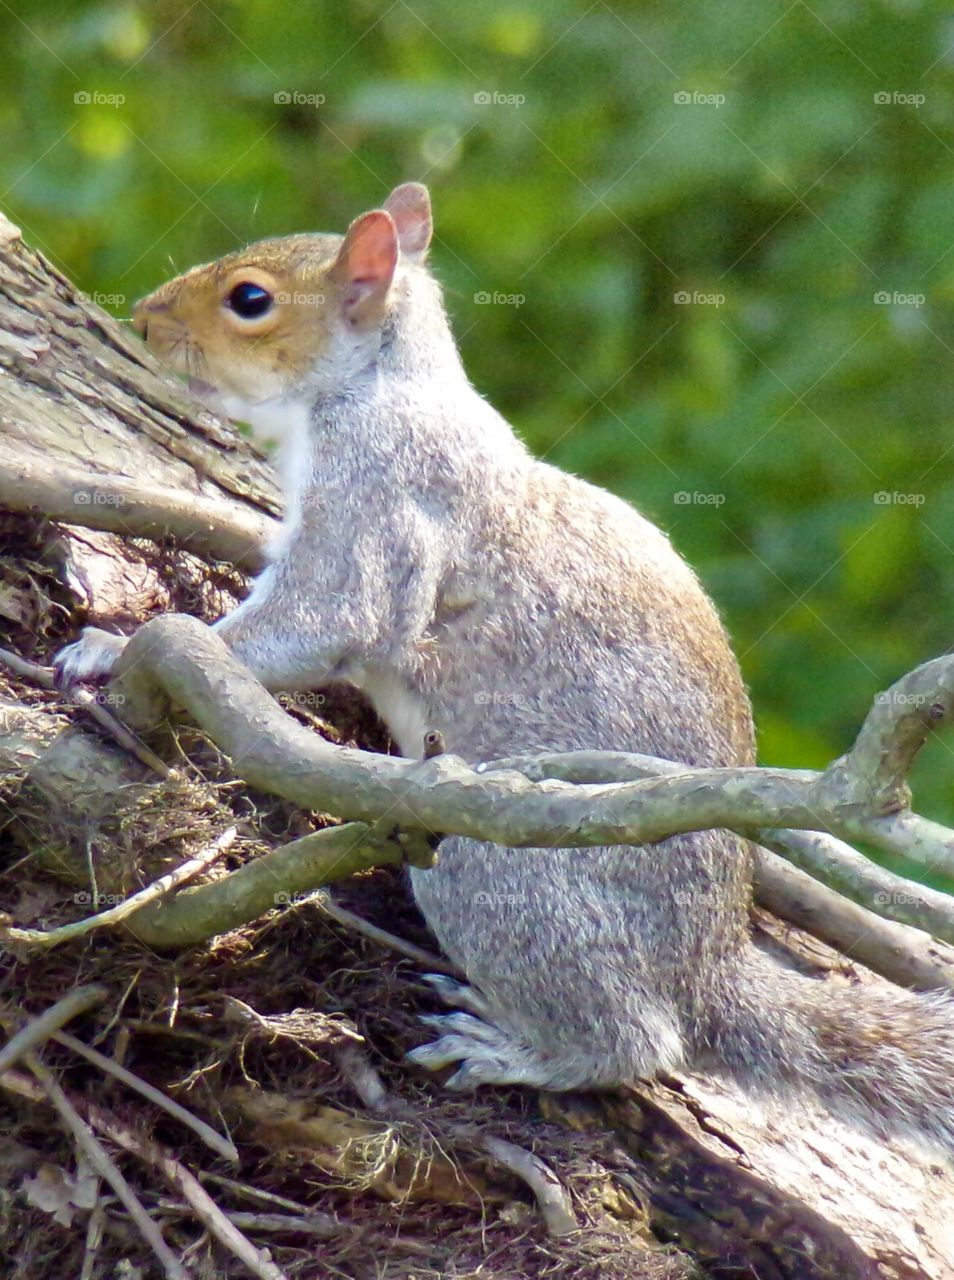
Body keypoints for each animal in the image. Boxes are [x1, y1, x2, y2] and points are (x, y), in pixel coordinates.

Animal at [55, 185, 952, 1157]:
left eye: (249, 299)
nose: (145, 319)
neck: (377, 386)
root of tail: (709, 966)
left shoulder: (379, 498)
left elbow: (318, 621)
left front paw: (116, 647)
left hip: (494, 864)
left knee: (639, 1039)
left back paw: (521, 1049)